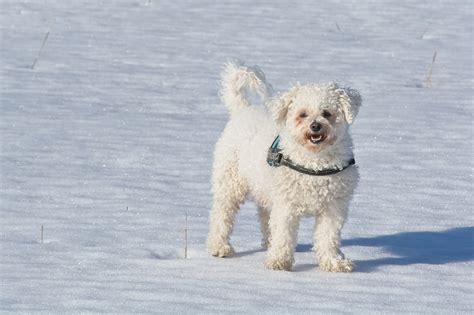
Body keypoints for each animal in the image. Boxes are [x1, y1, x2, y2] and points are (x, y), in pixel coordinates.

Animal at [206, 61, 360, 272]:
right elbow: (284, 234)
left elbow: (328, 238)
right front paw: (279, 261)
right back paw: (219, 246)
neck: (314, 163)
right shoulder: (286, 205)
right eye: (302, 114)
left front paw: (334, 262)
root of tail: (243, 110)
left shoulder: (333, 208)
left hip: (264, 189)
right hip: (230, 182)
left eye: (327, 113)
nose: (315, 126)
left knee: (264, 216)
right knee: (222, 214)